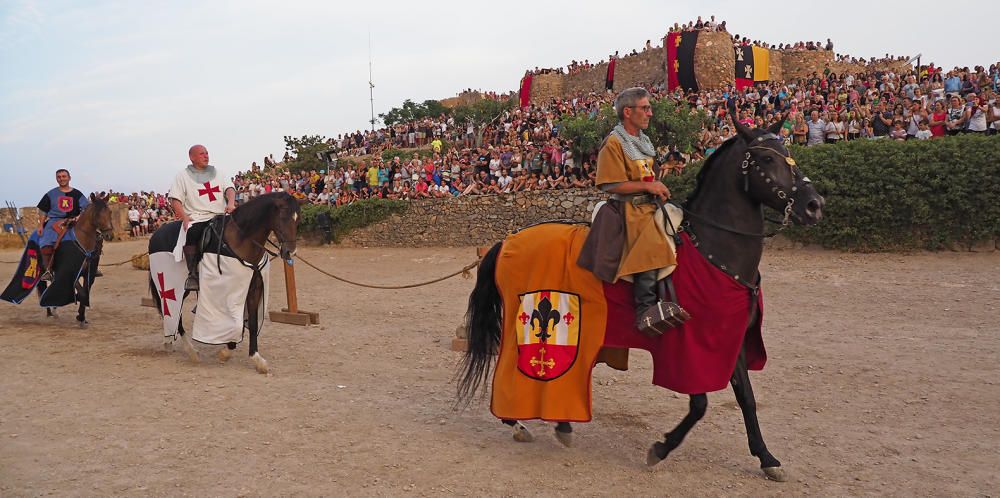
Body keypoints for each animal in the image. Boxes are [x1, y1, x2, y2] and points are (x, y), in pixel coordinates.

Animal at [146, 193, 298, 372]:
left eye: (297, 219)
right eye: (283, 216)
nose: (290, 252)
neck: (242, 239)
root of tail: (156, 234)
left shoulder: (254, 288)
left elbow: (252, 323)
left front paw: (256, 358)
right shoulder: (227, 292)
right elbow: (235, 324)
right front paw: (226, 351)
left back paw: (169, 341)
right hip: (171, 288)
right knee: (174, 315)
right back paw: (191, 351)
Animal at [458, 115, 824, 480]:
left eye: (787, 151)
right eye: (767, 159)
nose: (814, 205)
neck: (711, 251)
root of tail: (507, 240)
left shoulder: (727, 341)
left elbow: (745, 397)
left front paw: (766, 457)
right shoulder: (692, 348)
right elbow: (700, 404)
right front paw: (661, 448)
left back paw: (558, 423)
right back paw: (516, 420)